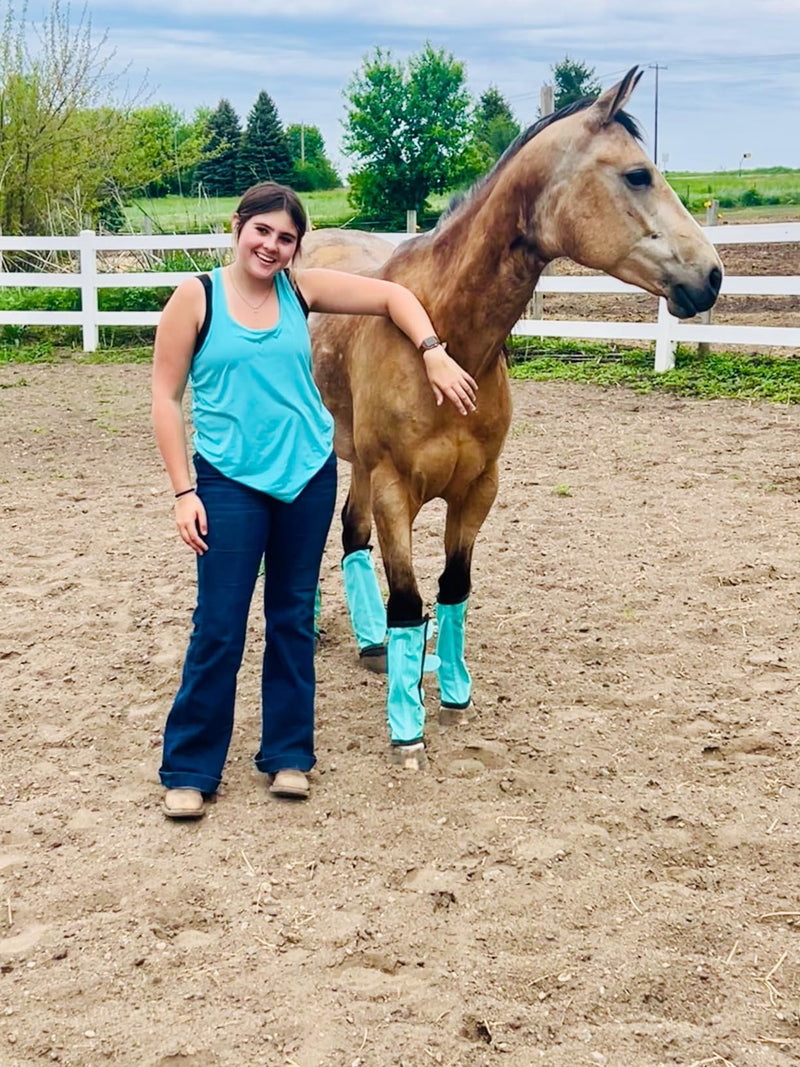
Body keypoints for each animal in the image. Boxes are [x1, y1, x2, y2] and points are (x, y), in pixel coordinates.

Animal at [305, 67, 723, 769]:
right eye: (638, 174)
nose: (713, 276)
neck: (440, 335)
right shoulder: (395, 489)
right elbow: (409, 601)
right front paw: (406, 728)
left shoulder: (478, 489)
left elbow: (452, 589)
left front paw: (452, 695)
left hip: (359, 461)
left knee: (351, 533)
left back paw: (369, 646)